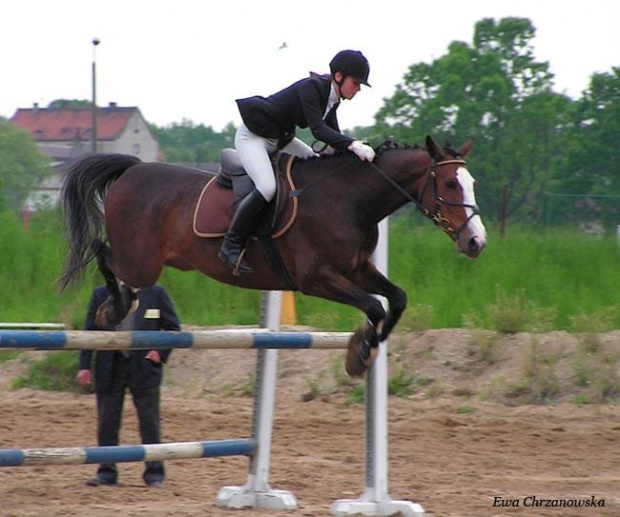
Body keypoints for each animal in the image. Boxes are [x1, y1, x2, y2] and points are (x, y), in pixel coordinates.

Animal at [59, 133, 484, 374]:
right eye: (450, 183)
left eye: (472, 182)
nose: (476, 242)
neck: (347, 199)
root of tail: (133, 169)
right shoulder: (316, 279)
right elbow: (374, 306)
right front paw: (361, 351)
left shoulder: (357, 269)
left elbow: (396, 298)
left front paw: (365, 347)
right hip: (142, 261)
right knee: (104, 254)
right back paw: (111, 310)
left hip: (151, 262)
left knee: (116, 267)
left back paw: (117, 307)